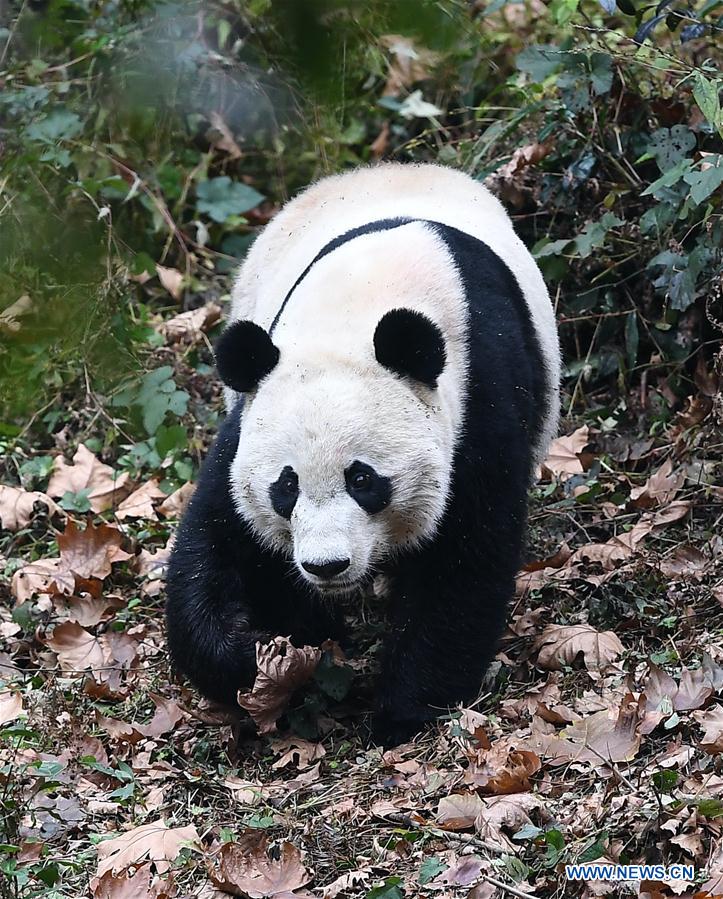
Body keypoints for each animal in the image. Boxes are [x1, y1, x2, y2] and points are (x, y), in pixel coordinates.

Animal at [165, 163, 560, 746]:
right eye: (286, 487)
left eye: (363, 480)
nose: (326, 565)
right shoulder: (255, 410)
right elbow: (221, 535)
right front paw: (253, 659)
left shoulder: (479, 394)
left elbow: (464, 558)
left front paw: (404, 712)